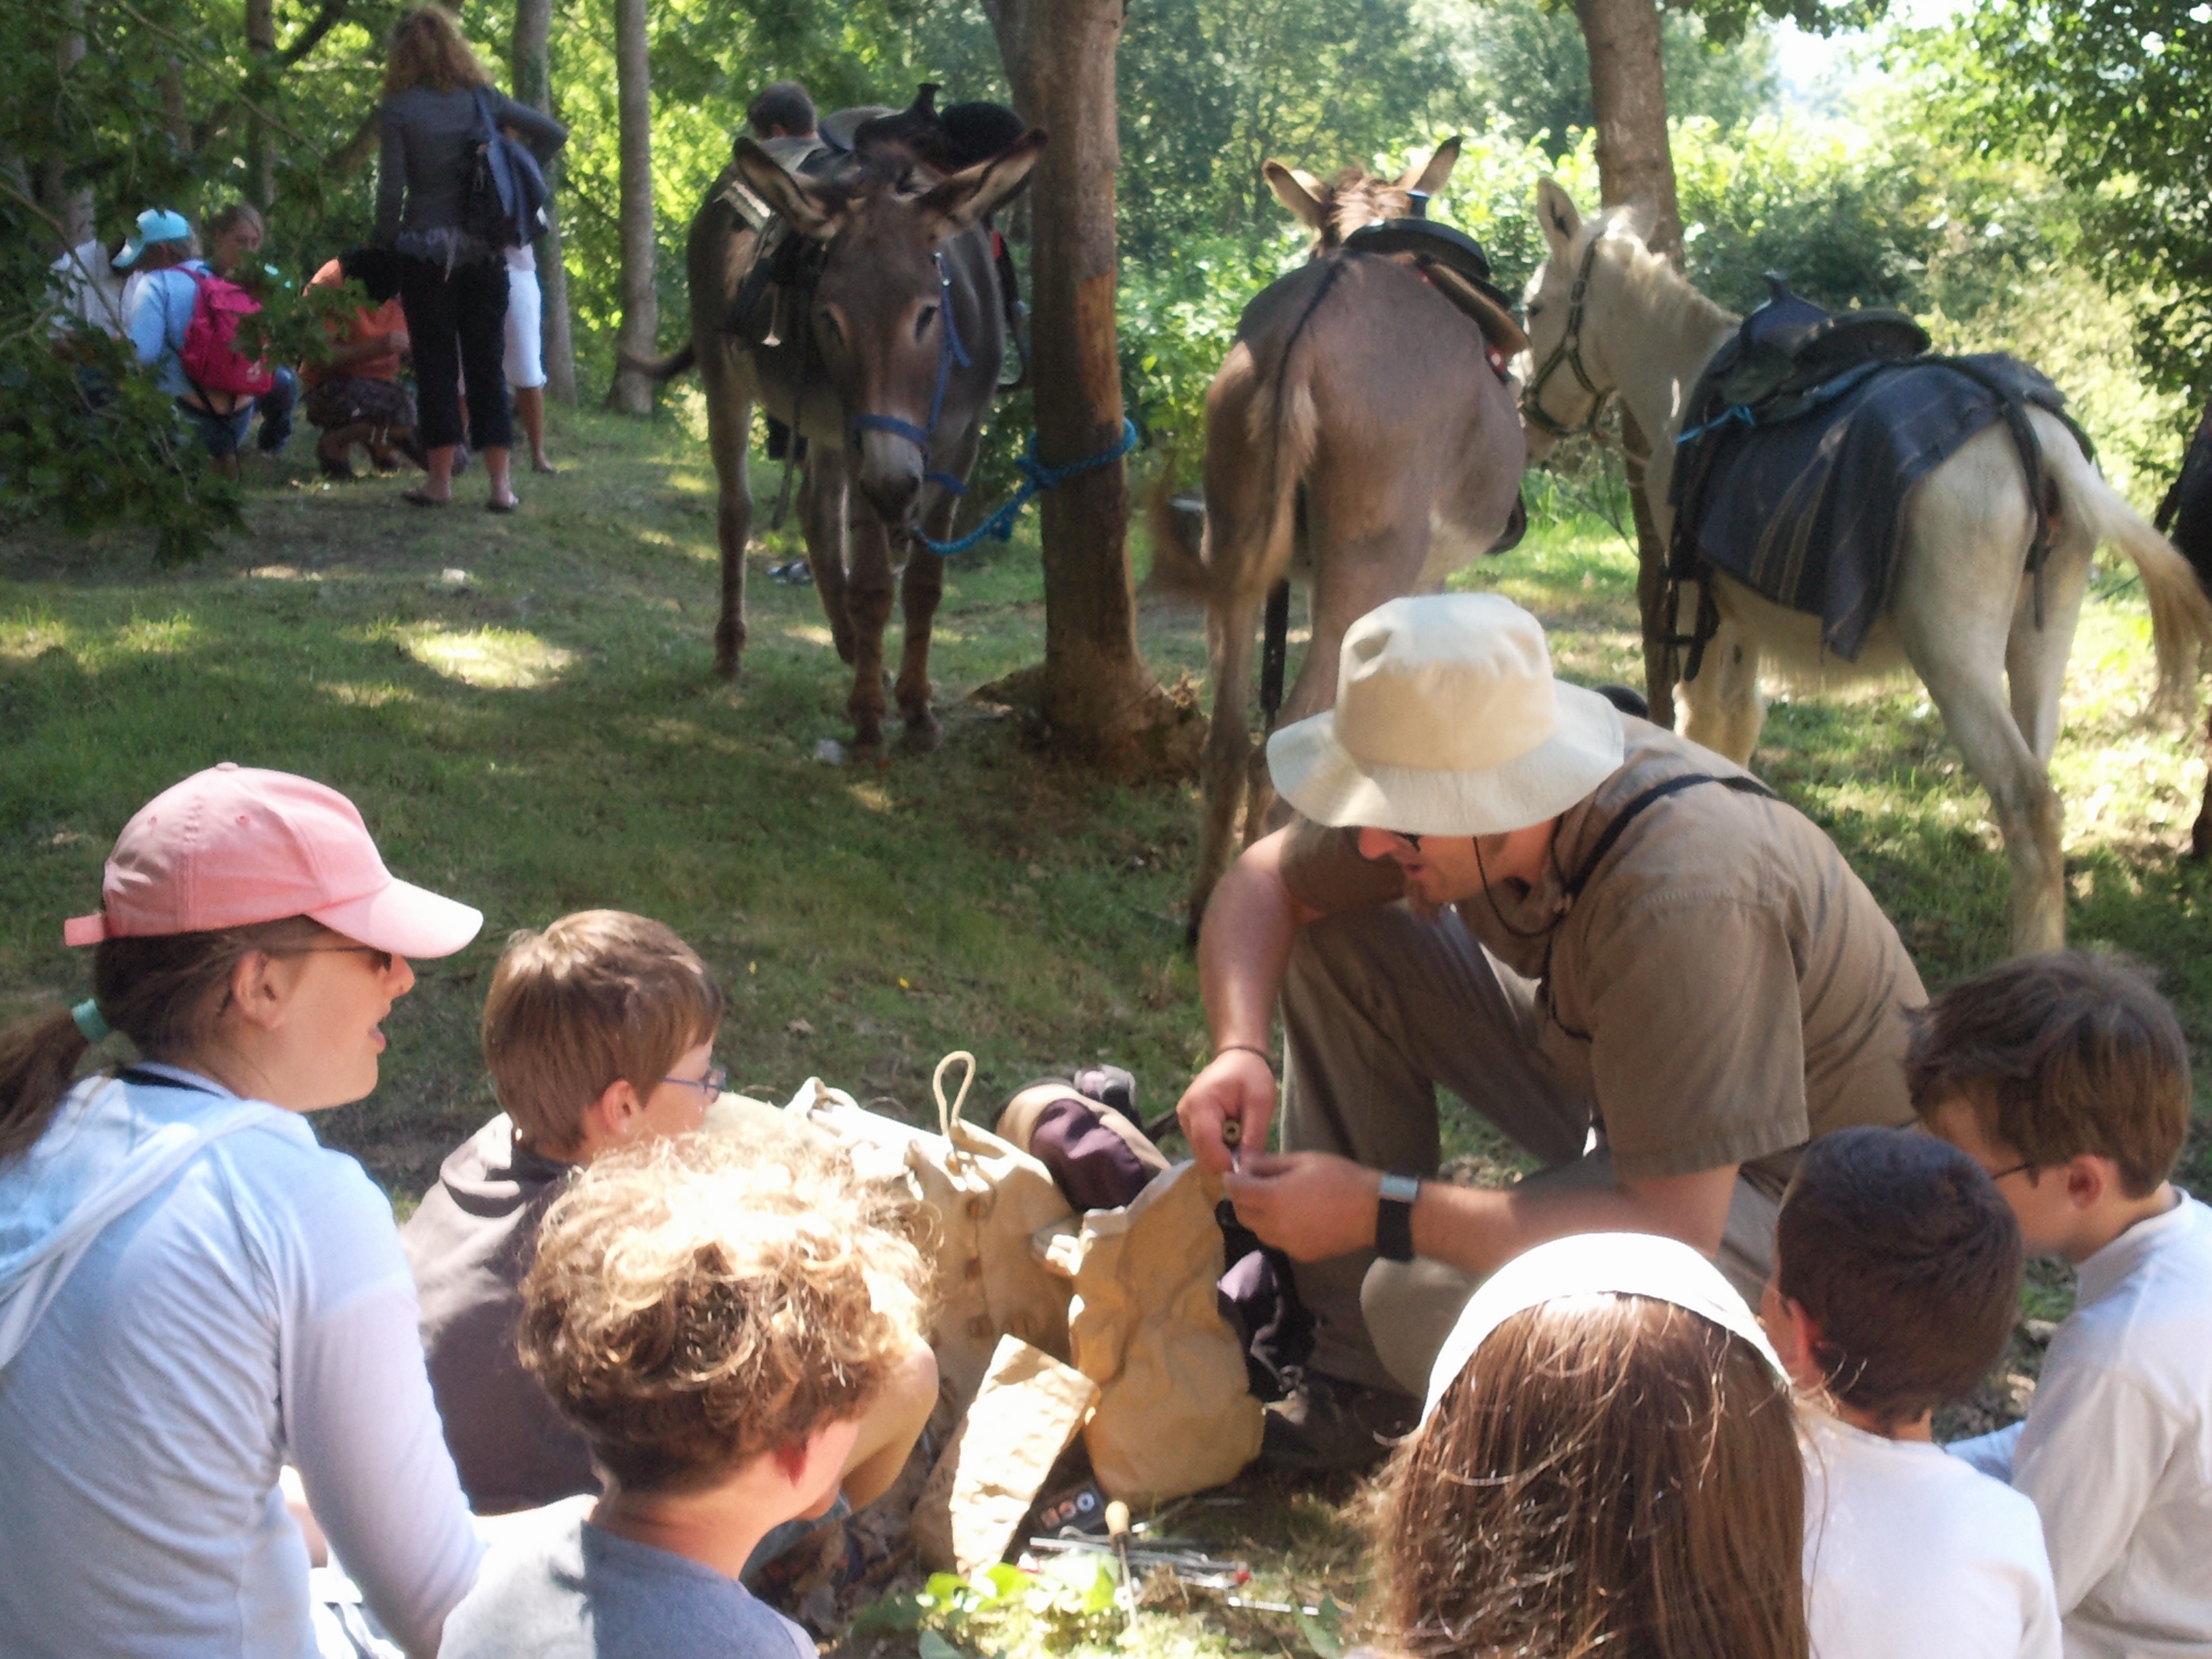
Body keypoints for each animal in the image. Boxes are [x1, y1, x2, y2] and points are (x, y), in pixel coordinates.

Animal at [1521, 181, 2212, 956]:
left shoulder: (1704, 608)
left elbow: (1702, 722)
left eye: (1534, 308)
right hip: (2043, 639)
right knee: (2047, 792)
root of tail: (2030, 429)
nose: (1525, 416)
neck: (1685, 379)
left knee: (2027, 804)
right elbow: (1738, 728)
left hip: (1955, 660)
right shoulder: (1742, 622)